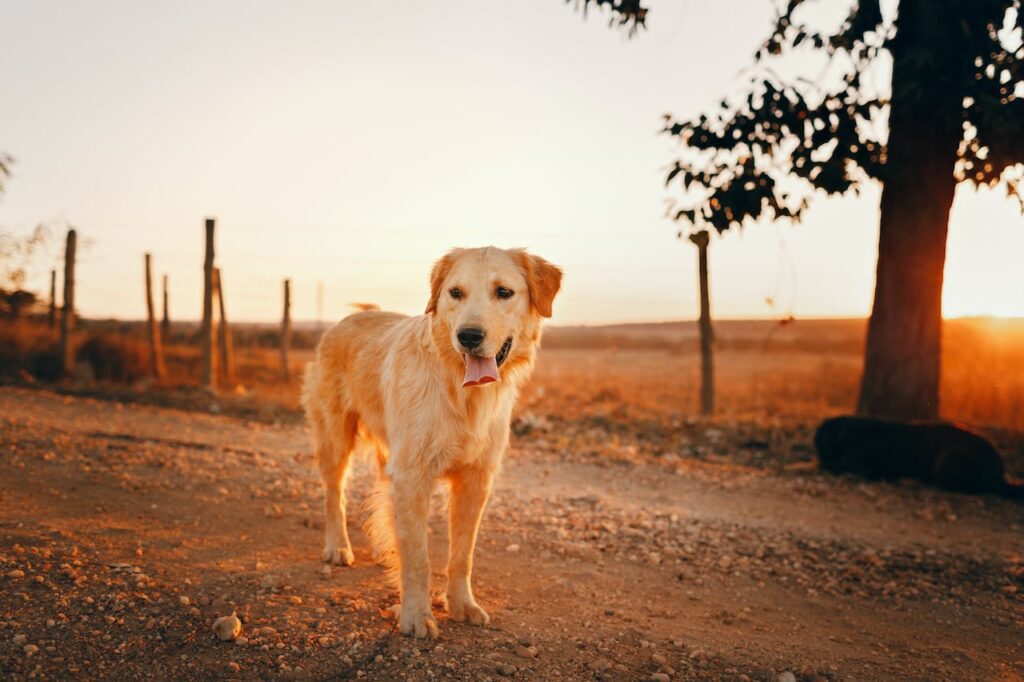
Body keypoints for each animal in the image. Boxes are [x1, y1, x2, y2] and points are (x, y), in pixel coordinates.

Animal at [299, 245, 565, 638]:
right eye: (455, 293)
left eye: (504, 292)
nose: (469, 336)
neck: (462, 392)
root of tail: (350, 318)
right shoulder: (413, 476)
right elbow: (418, 556)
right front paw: (415, 615)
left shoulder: (475, 481)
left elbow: (461, 555)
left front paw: (461, 605)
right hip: (335, 439)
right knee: (335, 495)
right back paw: (338, 547)